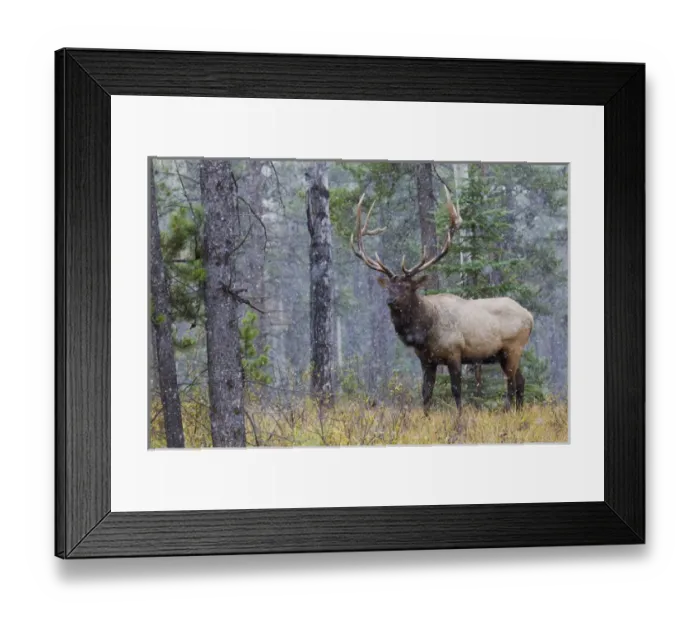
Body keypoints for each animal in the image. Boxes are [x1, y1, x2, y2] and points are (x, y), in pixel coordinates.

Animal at [350, 188, 534, 416]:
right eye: (389, 287)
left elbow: (456, 390)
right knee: (521, 381)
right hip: (506, 354)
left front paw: (459, 417)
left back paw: (508, 411)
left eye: (408, 287)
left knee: (510, 383)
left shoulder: (455, 353)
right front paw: (425, 418)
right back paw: (519, 412)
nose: (390, 301)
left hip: (513, 347)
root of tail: (530, 316)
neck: (426, 331)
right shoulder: (426, 360)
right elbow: (426, 392)